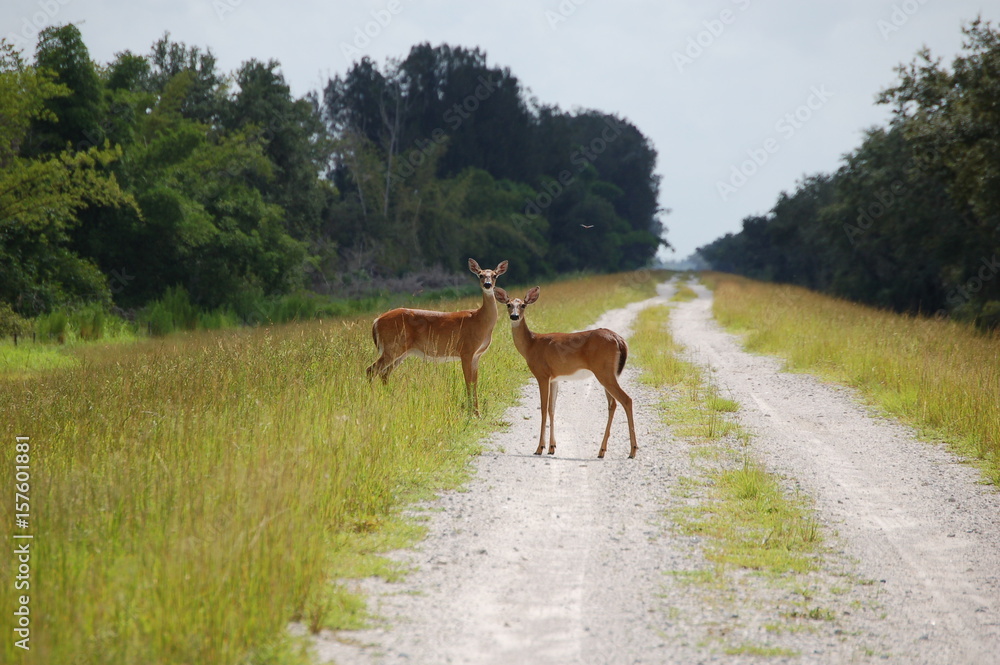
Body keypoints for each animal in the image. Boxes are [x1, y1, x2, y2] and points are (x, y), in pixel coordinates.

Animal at [366, 259, 508, 416]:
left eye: (494, 275)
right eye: (480, 275)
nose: (487, 285)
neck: (480, 320)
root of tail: (376, 321)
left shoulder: (476, 356)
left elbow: (474, 382)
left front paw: (477, 413)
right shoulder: (466, 350)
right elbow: (468, 381)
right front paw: (472, 412)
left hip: (400, 351)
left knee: (384, 373)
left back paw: (391, 399)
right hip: (393, 346)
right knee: (371, 370)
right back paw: (373, 398)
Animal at [494, 286, 638, 459]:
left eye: (523, 305)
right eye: (508, 304)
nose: (514, 316)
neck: (531, 345)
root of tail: (619, 339)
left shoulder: (542, 374)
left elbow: (543, 409)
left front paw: (539, 448)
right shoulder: (554, 378)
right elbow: (552, 408)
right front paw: (552, 447)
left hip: (604, 372)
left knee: (626, 400)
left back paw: (632, 451)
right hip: (608, 373)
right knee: (613, 404)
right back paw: (602, 451)